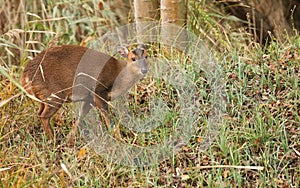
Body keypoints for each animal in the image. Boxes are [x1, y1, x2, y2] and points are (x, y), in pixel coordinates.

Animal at [20, 43, 148, 141]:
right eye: (133, 58)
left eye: (146, 56)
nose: (144, 70)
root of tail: (24, 76)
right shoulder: (98, 91)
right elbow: (105, 114)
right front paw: (116, 135)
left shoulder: (89, 98)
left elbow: (81, 115)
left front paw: (69, 140)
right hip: (54, 95)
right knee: (44, 116)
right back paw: (54, 141)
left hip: (44, 97)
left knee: (40, 113)